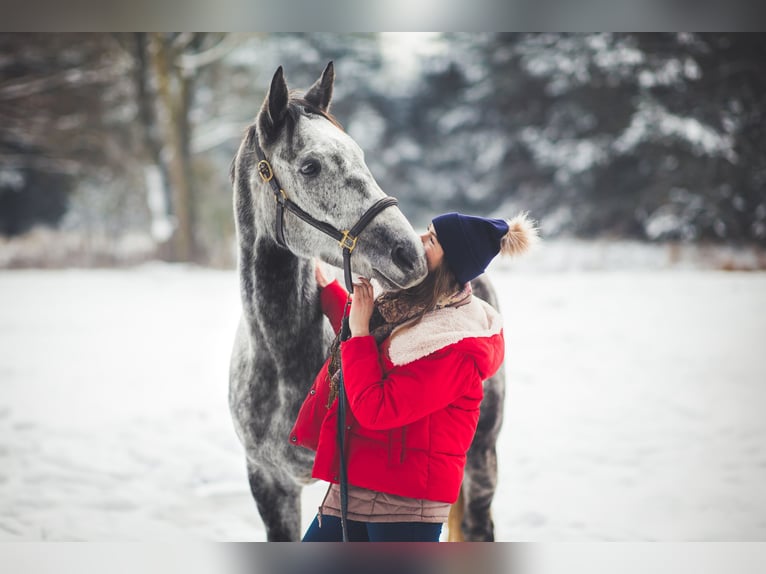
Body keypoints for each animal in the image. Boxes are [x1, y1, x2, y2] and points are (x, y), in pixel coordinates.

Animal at [228, 63, 504, 544]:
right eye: (310, 166)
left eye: (360, 155)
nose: (409, 254)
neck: (280, 358)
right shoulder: (268, 482)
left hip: (482, 456)